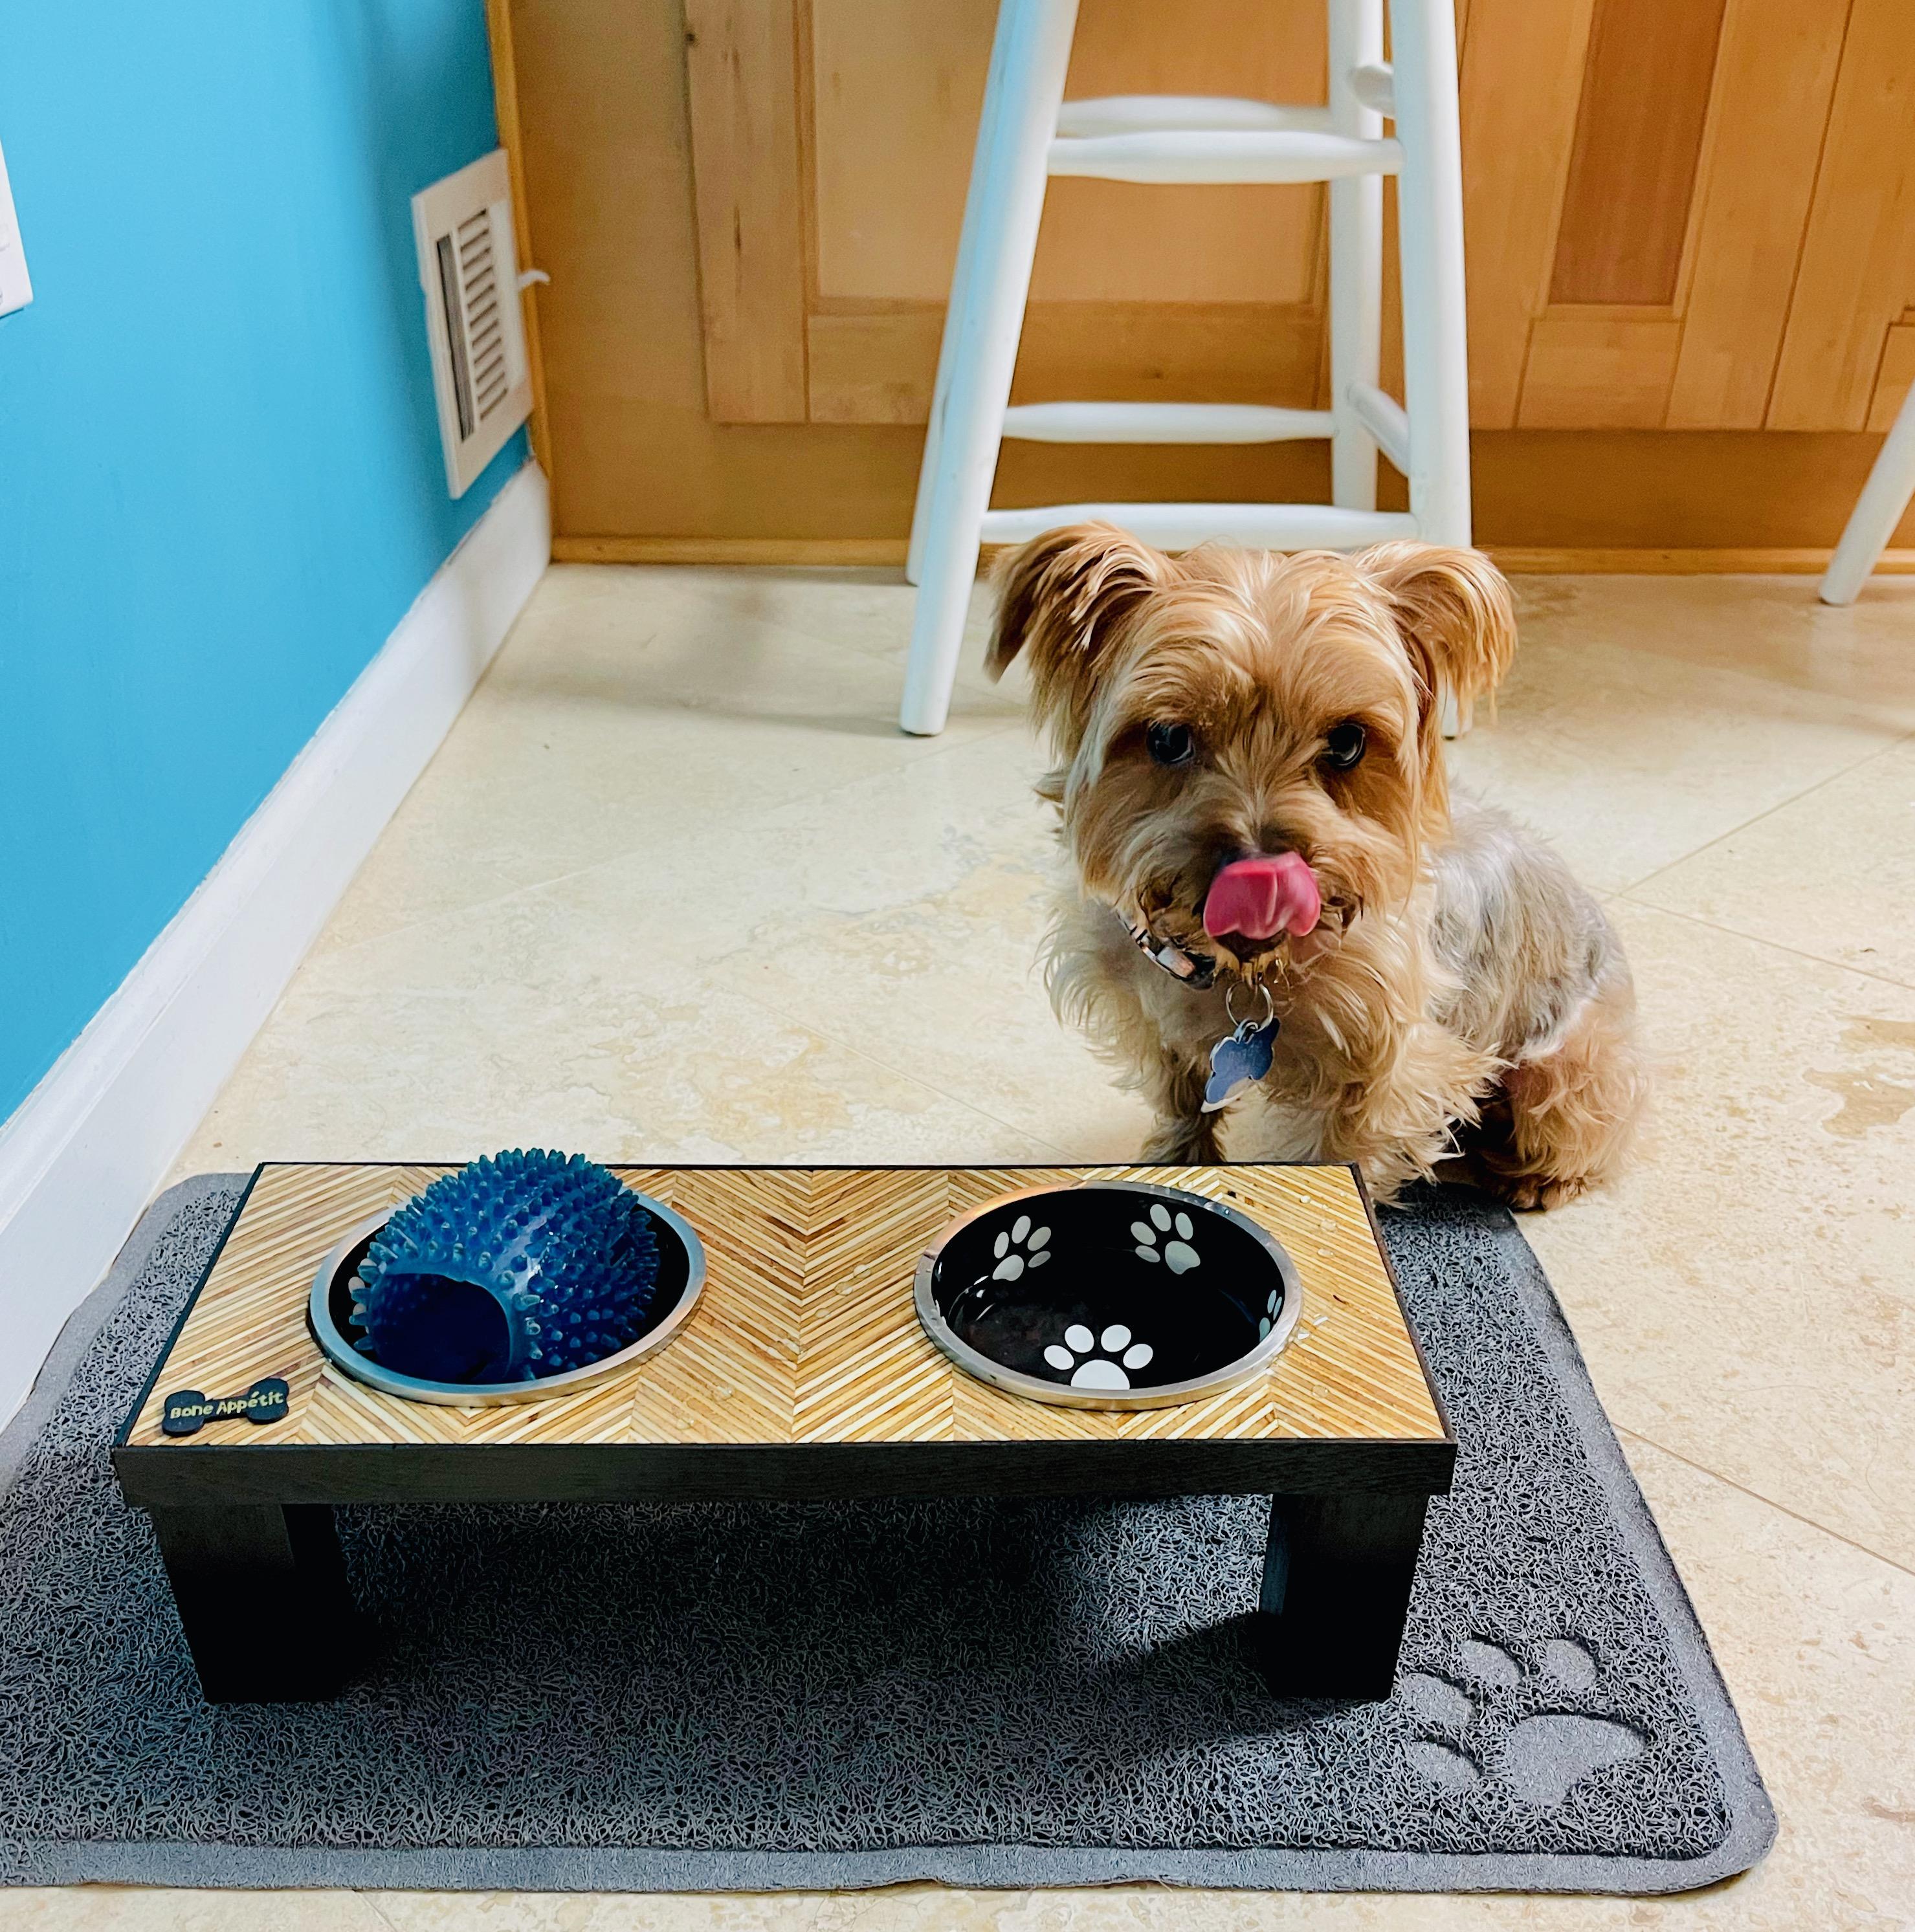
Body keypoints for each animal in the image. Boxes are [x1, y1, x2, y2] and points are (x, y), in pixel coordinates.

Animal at [989, 521, 1646, 1198]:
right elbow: (1179, 1098)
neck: (1238, 972)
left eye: (1347, 743)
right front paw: (1174, 1157)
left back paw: (1533, 1176)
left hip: (1570, 1070)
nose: (1262, 878)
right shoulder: (1146, 1018)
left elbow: (1346, 1148)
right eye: (1167, 738)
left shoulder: (1390, 1060)